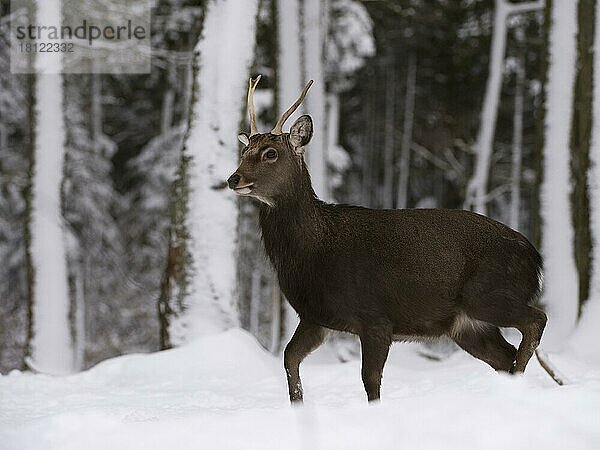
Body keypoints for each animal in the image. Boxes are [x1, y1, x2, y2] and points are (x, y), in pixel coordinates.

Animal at [227, 75, 548, 402]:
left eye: (270, 153)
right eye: (245, 152)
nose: (234, 179)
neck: (314, 250)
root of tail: (534, 258)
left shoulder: (375, 316)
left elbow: (370, 380)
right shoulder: (316, 317)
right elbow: (290, 359)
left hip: (488, 293)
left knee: (536, 321)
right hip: (468, 325)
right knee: (505, 355)